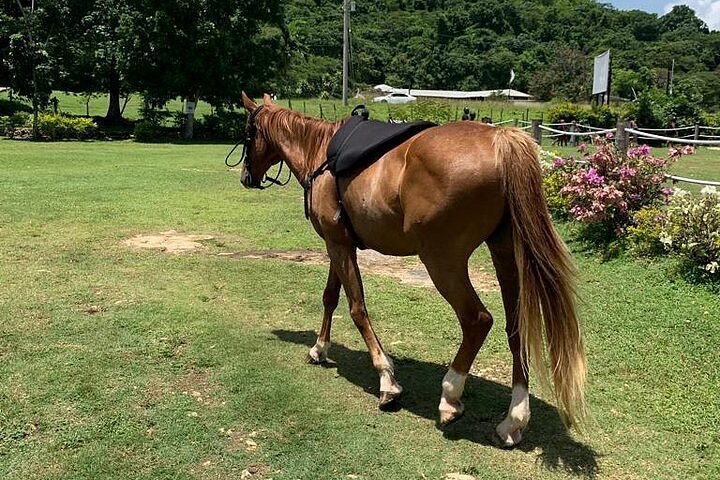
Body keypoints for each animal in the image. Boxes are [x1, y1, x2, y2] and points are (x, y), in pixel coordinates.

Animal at [236, 93, 584, 446]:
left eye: (248, 133)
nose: (245, 177)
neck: (321, 152)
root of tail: (499, 139)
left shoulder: (338, 245)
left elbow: (357, 308)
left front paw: (386, 380)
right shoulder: (339, 244)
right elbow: (330, 298)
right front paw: (319, 349)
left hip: (442, 261)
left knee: (477, 320)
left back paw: (450, 395)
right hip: (504, 256)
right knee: (516, 327)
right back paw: (514, 418)